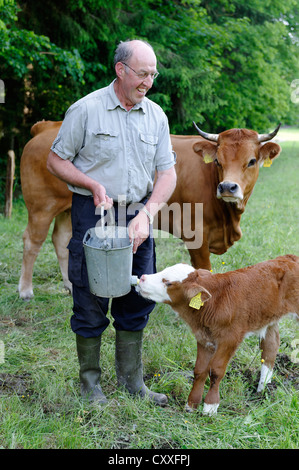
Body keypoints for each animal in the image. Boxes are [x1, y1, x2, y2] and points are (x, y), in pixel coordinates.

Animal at [18, 120, 282, 298]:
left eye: (251, 161)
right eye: (218, 160)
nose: (227, 187)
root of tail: (48, 127)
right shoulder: (196, 235)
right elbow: (203, 270)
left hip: (66, 207)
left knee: (61, 239)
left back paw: (70, 286)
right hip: (41, 207)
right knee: (32, 240)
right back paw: (26, 290)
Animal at [138, 258, 299, 414]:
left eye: (169, 283)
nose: (142, 278)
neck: (213, 302)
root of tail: (289, 258)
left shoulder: (230, 338)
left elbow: (216, 370)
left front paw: (210, 406)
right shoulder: (203, 338)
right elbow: (200, 370)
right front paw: (192, 404)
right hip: (269, 318)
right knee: (270, 346)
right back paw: (262, 390)